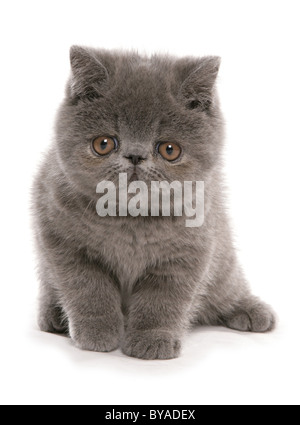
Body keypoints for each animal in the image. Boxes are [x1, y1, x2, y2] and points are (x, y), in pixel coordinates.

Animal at [32, 46, 274, 358]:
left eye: (169, 149)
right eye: (103, 144)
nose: (135, 156)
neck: (130, 221)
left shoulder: (187, 254)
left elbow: (163, 301)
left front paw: (152, 340)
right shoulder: (62, 241)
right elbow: (88, 289)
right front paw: (97, 333)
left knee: (228, 285)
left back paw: (251, 310)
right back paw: (53, 316)